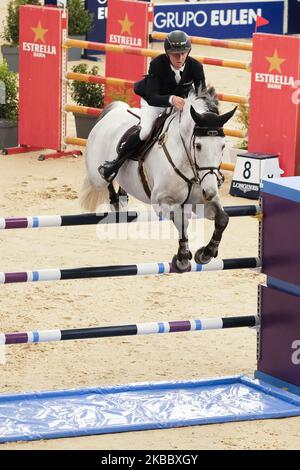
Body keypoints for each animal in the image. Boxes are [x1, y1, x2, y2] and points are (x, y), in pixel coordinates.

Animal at [79, 88, 237, 272]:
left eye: (222, 146)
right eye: (198, 146)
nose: (210, 191)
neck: (187, 161)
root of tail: (115, 111)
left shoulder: (200, 201)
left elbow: (222, 219)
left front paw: (206, 253)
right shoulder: (162, 202)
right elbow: (182, 222)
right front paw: (183, 259)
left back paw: (122, 198)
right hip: (96, 177)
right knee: (105, 179)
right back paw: (113, 191)